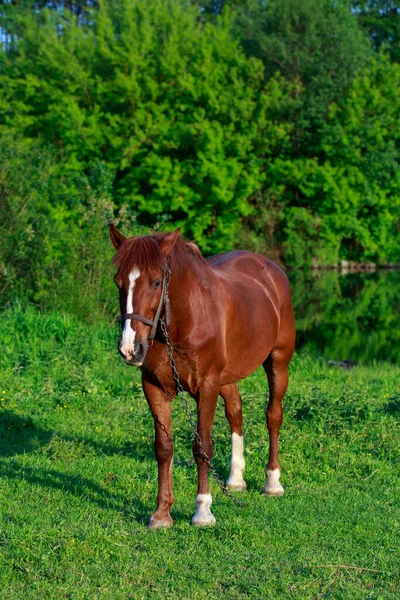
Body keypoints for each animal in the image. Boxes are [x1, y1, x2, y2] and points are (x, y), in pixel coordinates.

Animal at [111, 226, 296, 528]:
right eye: (118, 282)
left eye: (156, 282)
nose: (130, 348)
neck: (184, 321)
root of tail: (271, 269)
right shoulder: (154, 388)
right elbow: (163, 448)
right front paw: (161, 513)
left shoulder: (206, 387)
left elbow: (202, 447)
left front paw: (203, 511)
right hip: (228, 377)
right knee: (235, 412)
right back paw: (235, 480)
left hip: (278, 361)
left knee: (273, 416)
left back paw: (272, 483)